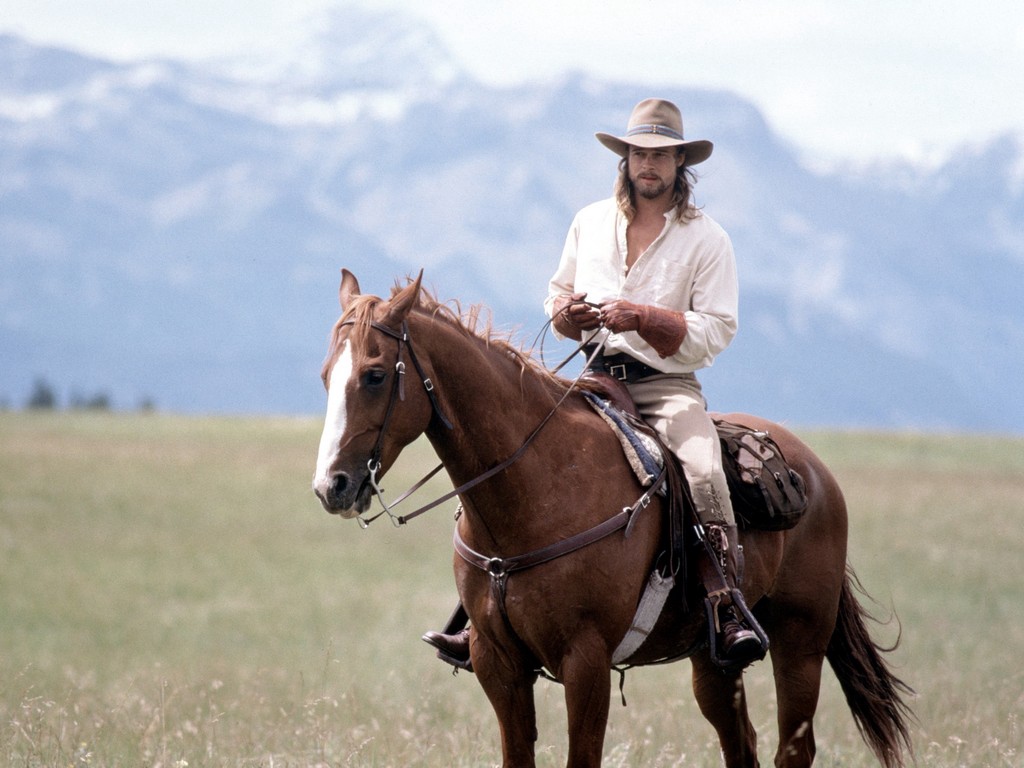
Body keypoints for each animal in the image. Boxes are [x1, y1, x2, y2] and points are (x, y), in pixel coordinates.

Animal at [309, 270, 913, 768]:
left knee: (794, 747)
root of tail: (816, 474)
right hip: (714, 663)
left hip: (800, 642)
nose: (331, 486)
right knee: (741, 744)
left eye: (375, 375)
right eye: (325, 376)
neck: (533, 489)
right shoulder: (496, 662)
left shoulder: (586, 661)